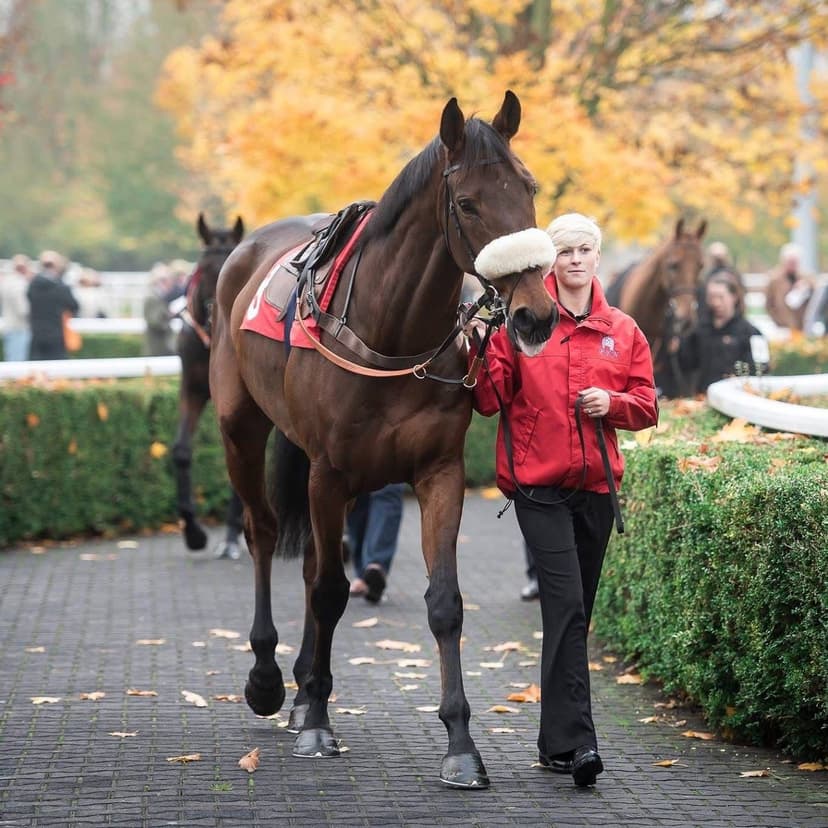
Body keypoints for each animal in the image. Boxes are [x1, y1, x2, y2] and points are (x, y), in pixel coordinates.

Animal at [209, 91, 559, 788]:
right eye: (469, 203)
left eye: (529, 188)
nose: (536, 314)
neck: (389, 334)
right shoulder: (329, 471)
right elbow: (328, 591)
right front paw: (317, 723)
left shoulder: (438, 471)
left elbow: (444, 602)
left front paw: (460, 745)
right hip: (241, 427)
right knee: (264, 532)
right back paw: (269, 681)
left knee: (312, 558)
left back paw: (303, 686)